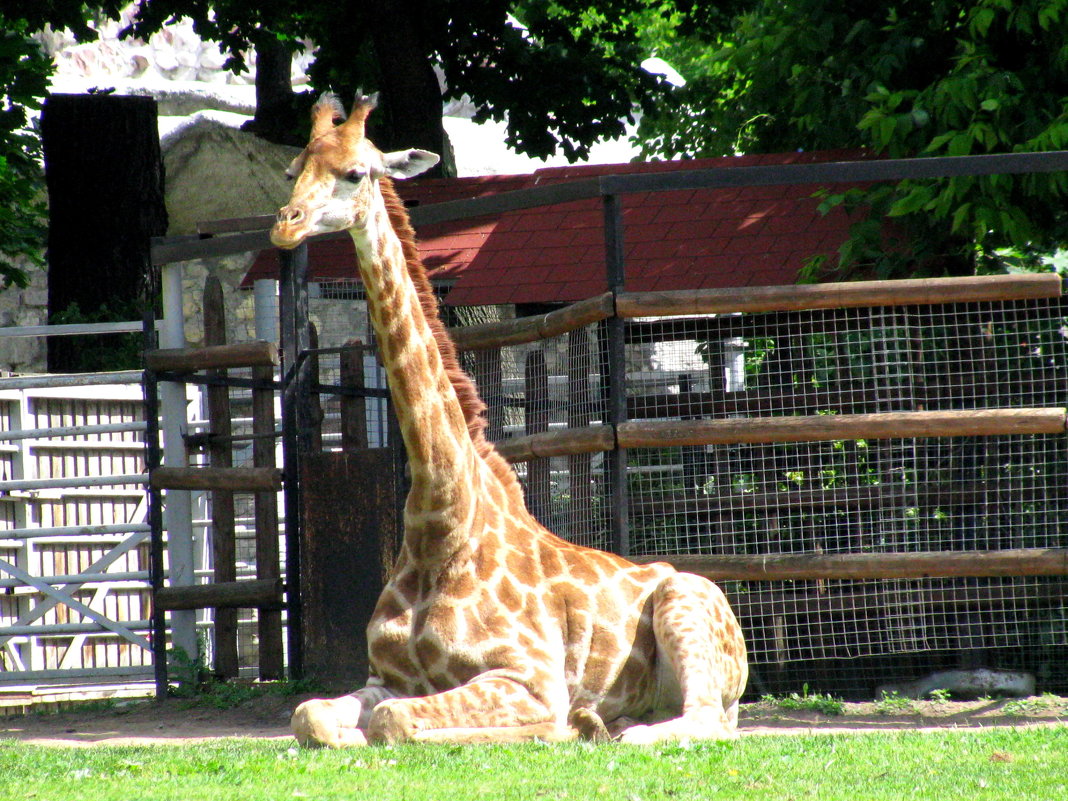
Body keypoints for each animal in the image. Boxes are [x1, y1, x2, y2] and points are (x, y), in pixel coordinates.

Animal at [271, 93, 747, 747]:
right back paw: (603, 719)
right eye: (295, 168)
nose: (285, 224)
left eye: (356, 173)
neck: (440, 522)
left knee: (702, 721)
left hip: (688, 602)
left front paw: (555, 730)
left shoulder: (530, 679)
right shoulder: (385, 677)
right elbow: (310, 714)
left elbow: (400, 722)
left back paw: (599, 726)